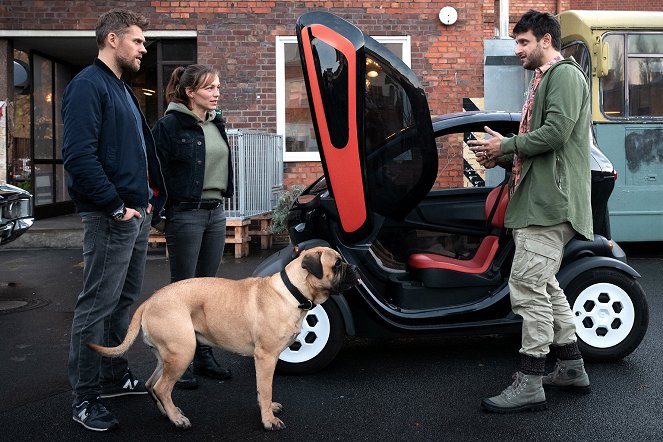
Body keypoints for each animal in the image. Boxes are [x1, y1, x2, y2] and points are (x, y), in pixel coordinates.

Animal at [89, 247, 358, 430]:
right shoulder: (266, 357)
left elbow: (262, 390)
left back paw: (168, 412)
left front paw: (267, 409)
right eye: (337, 264)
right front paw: (269, 420)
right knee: (162, 387)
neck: (293, 291)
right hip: (183, 352)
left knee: (151, 384)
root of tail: (149, 301)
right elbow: (266, 388)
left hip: (168, 355)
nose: (354, 268)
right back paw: (177, 419)